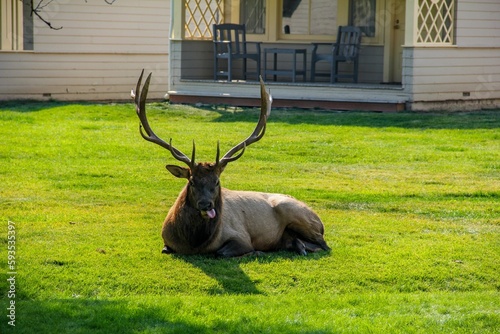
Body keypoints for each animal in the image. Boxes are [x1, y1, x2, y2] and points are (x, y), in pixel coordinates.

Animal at [131, 70, 330, 258]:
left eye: (217, 181)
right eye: (192, 181)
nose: (206, 205)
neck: (194, 244)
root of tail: (320, 221)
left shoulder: (241, 237)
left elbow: (221, 252)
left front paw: (256, 252)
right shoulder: (166, 241)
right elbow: (165, 249)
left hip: (296, 213)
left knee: (325, 245)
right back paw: (297, 245)